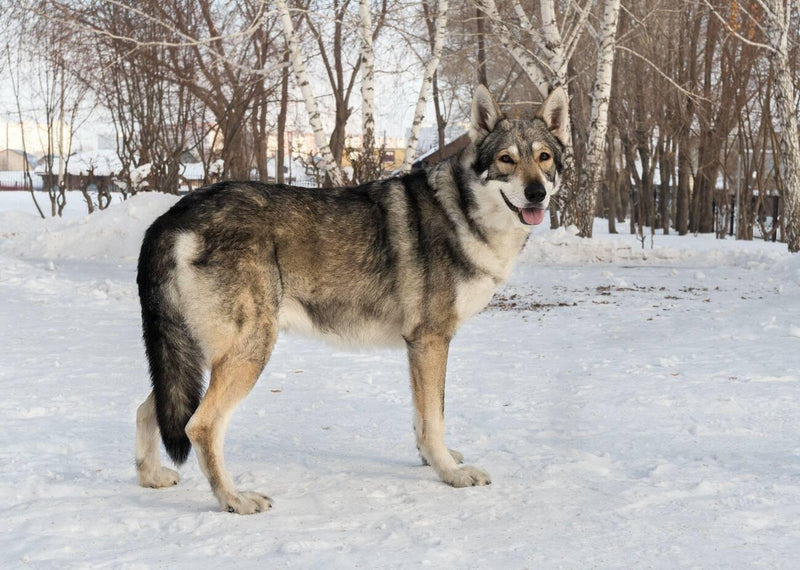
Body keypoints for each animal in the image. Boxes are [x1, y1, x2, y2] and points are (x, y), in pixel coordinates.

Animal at [134, 85, 569, 514]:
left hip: (195, 358)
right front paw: (450, 473)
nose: (536, 193)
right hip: (247, 351)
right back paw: (234, 499)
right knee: (199, 425)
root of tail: (170, 217)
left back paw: (151, 477)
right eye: (506, 159)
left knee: (150, 409)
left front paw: (430, 459)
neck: (462, 212)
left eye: (544, 158)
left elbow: (422, 417)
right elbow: (435, 418)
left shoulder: (418, 347)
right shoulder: (431, 340)